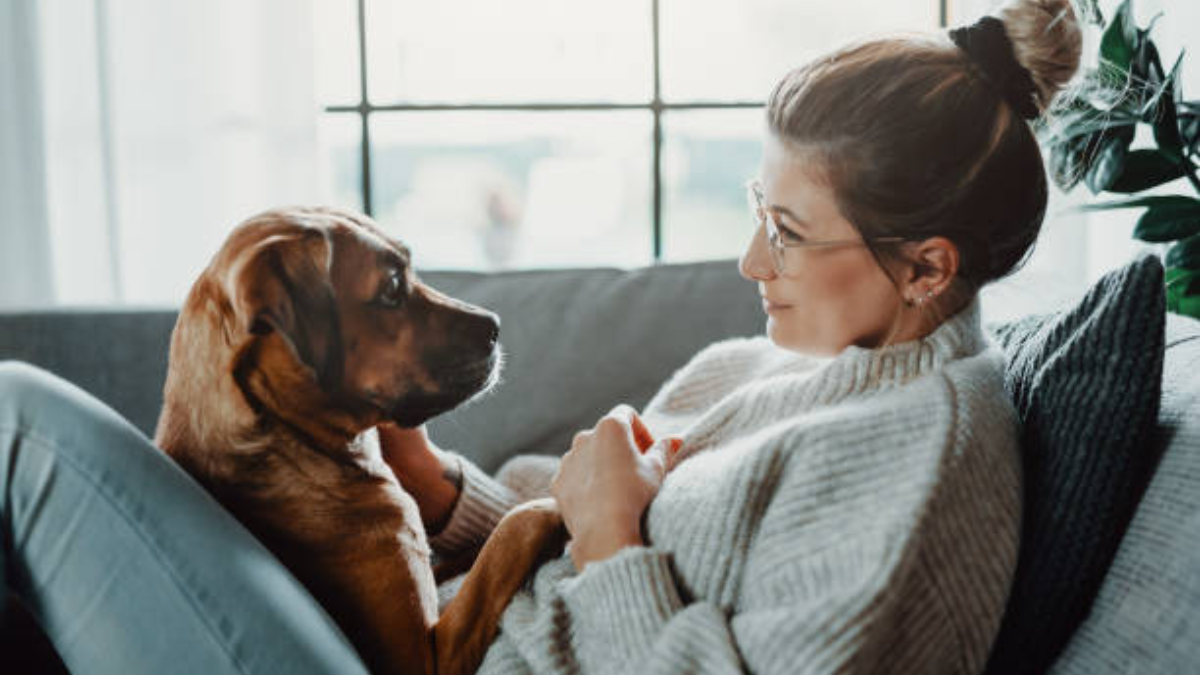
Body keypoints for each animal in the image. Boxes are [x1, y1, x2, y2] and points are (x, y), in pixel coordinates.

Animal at [153, 205, 561, 672]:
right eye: (393, 288)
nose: (496, 325)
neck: (289, 441)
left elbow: (475, 552)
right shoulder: (423, 658)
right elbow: (512, 531)